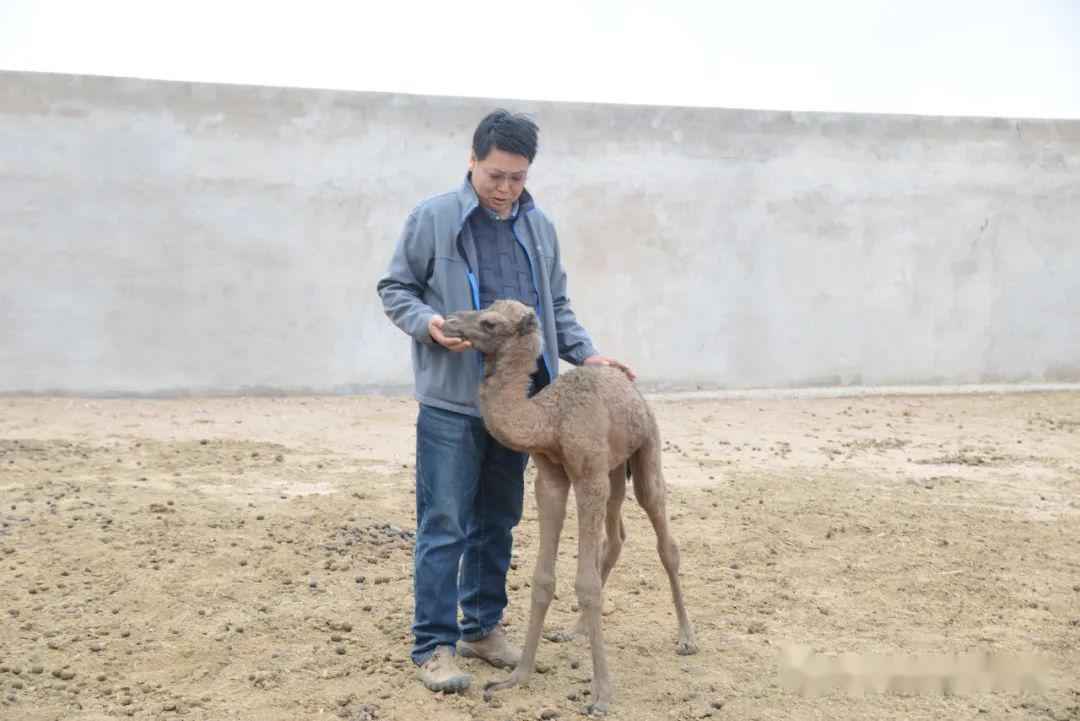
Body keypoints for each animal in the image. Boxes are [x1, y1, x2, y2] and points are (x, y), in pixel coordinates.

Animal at [442, 297, 695, 716]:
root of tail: (634, 390)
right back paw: (575, 631)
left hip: (645, 451)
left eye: (490, 322)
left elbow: (586, 583)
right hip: (613, 469)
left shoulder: (587, 476)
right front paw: (518, 676)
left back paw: (687, 637)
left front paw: (602, 695)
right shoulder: (551, 478)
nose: (448, 321)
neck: (550, 420)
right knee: (616, 537)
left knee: (664, 539)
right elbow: (544, 579)